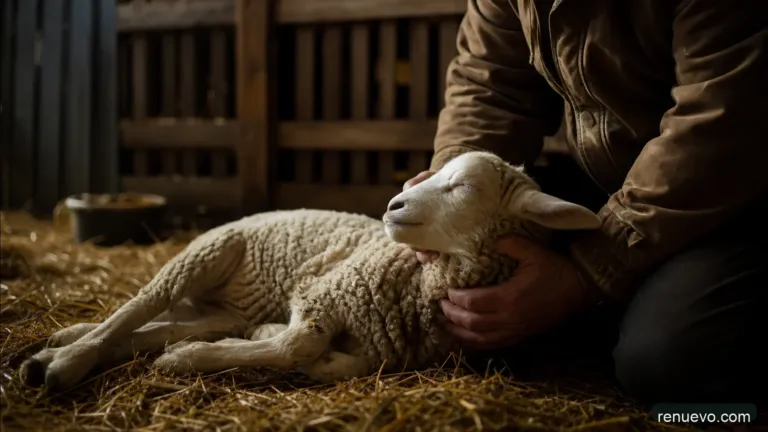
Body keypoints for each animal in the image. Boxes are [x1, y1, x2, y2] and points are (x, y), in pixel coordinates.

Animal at [19, 151, 601, 392]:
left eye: (464, 187)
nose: (393, 205)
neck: (419, 285)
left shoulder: (374, 343)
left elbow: (337, 365)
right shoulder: (325, 289)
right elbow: (296, 345)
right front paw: (190, 361)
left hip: (217, 308)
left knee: (160, 323)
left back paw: (62, 344)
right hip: (207, 250)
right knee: (137, 308)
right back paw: (64, 360)